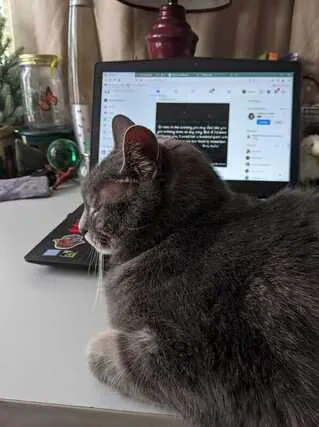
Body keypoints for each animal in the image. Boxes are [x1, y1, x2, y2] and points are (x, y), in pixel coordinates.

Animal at [80, 114, 319, 427]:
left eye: (95, 206)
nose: (80, 229)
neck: (184, 228)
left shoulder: (199, 361)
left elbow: (117, 356)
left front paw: (97, 344)